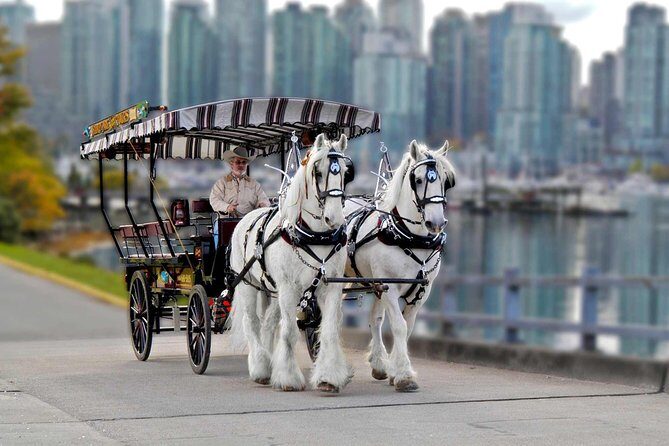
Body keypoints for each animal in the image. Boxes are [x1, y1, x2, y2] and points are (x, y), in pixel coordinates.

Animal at [229, 133, 353, 393]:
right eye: (318, 172)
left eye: (346, 172)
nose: (334, 218)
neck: (314, 235)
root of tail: (245, 218)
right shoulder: (289, 287)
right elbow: (288, 333)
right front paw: (288, 377)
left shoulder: (330, 287)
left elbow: (328, 331)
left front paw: (328, 377)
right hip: (248, 284)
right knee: (251, 323)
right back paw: (260, 367)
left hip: (272, 290)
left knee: (268, 323)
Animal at [345, 139, 456, 392]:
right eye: (419, 179)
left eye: (446, 181)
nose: (436, 223)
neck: (408, 237)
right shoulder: (390, 287)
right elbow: (399, 326)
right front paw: (404, 375)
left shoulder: (421, 291)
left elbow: (407, 328)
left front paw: (396, 371)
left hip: (375, 283)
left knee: (374, 320)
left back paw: (378, 364)